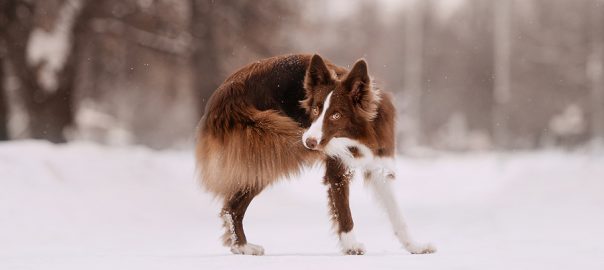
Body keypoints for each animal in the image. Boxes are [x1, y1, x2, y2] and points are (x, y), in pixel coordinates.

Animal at [196, 53, 436, 255]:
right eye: (315, 110)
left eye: (336, 115)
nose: (309, 142)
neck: (358, 135)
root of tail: (222, 94)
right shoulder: (338, 170)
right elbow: (344, 211)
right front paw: (351, 246)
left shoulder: (380, 165)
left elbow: (397, 213)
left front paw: (414, 246)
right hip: (271, 147)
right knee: (233, 207)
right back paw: (243, 246)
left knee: (232, 207)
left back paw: (241, 246)